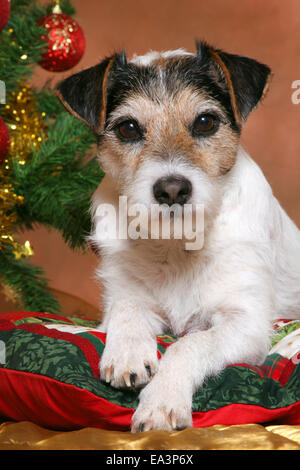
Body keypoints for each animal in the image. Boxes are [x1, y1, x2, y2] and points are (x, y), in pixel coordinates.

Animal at [56, 41, 300, 434]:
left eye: (205, 122)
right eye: (128, 128)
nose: (172, 189)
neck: (176, 243)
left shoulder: (246, 324)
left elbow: (191, 343)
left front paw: (162, 399)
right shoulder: (120, 296)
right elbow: (128, 309)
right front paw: (128, 352)